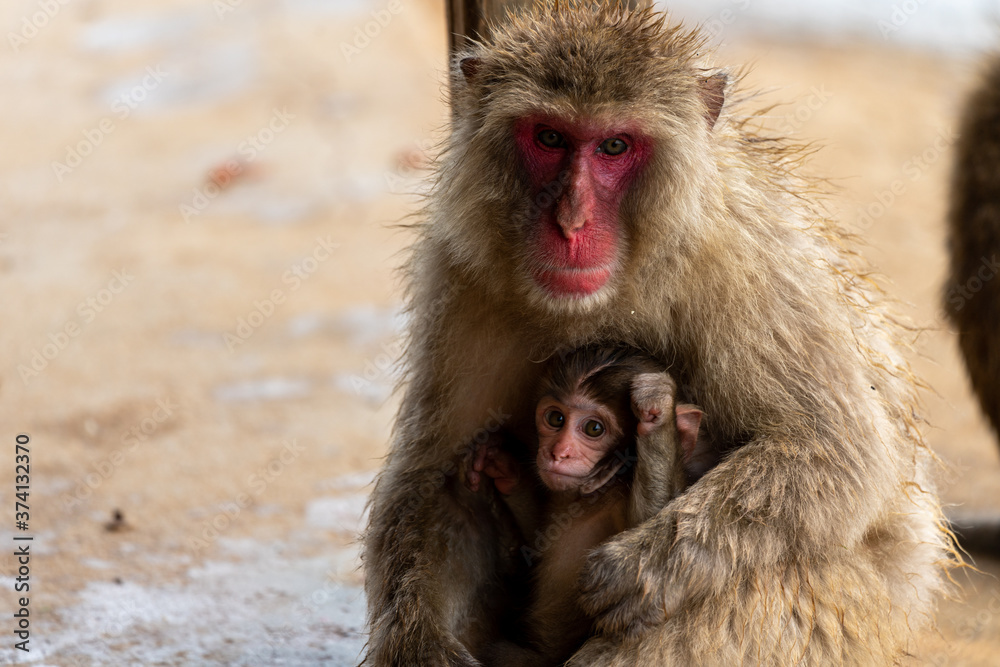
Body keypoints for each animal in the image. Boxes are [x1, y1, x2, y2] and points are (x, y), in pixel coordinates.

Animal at [469, 347, 705, 666]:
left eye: (594, 428)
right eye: (555, 418)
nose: (558, 452)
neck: (598, 496)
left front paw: (658, 417)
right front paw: (504, 467)